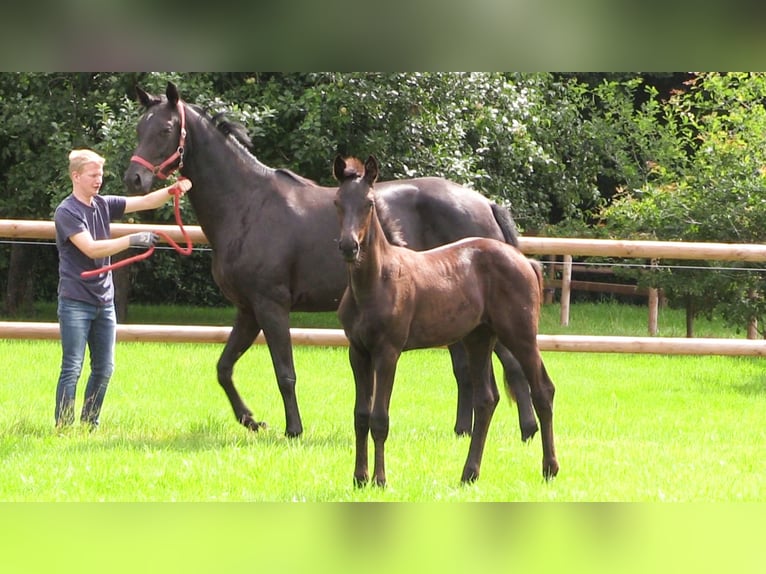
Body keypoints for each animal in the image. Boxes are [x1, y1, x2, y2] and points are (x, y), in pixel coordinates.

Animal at [122, 81, 538, 441]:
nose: (134, 179)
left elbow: (285, 372)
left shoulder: (271, 305)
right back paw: (464, 431)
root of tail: (485, 204)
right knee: (467, 371)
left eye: (166, 129)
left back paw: (526, 431)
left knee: (511, 368)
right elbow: (224, 368)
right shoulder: (248, 310)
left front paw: (293, 430)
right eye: (140, 127)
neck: (247, 206)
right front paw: (252, 420)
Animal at [334, 155, 558, 485]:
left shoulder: (388, 352)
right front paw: (360, 478)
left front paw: (380, 480)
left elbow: (379, 419)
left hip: (521, 336)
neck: (376, 281)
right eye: (337, 202)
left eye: (369, 203)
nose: (349, 247)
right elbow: (360, 417)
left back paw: (549, 468)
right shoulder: (358, 352)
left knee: (543, 390)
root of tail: (526, 261)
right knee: (486, 399)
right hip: (479, 338)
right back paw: (469, 473)